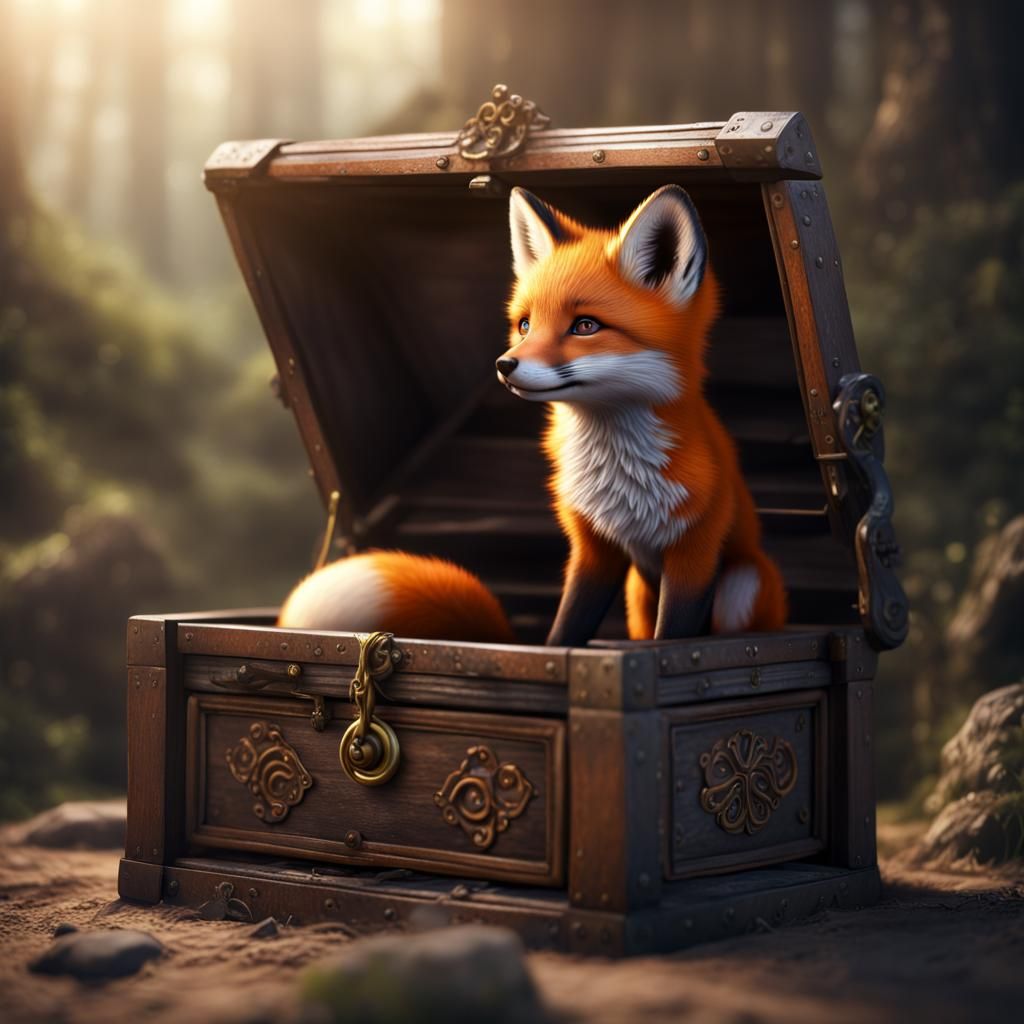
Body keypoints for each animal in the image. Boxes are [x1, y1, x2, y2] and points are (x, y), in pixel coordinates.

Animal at [278, 185, 787, 645]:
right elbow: (564, 632)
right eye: (525, 324)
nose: (504, 365)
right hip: (638, 593)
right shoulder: (593, 549)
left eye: (585, 326)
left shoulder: (693, 553)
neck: (621, 478)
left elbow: (671, 639)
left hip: (740, 583)